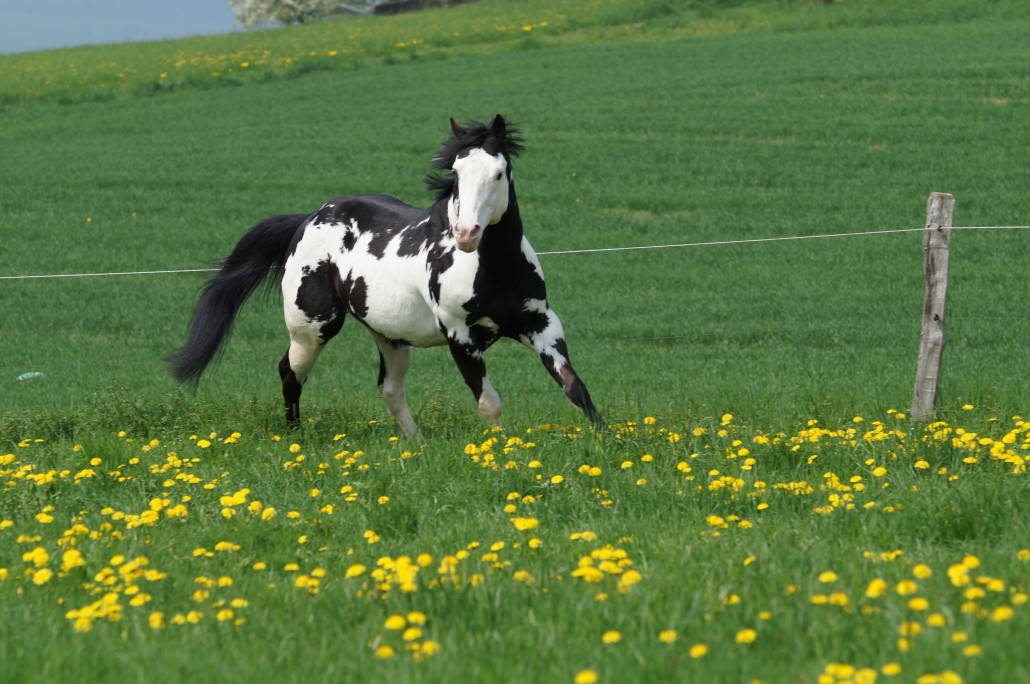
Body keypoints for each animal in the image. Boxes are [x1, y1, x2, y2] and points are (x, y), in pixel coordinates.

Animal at [166, 112, 601, 432]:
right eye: (456, 173)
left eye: (498, 172)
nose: (466, 235)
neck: (495, 269)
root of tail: (307, 219)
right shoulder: (461, 337)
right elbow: (489, 404)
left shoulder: (541, 324)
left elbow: (576, 388)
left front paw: (602, 442)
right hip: (313, 328)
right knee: (290, 372)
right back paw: (295, 437)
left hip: (390, 336)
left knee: (389, 390)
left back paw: (416, 446)